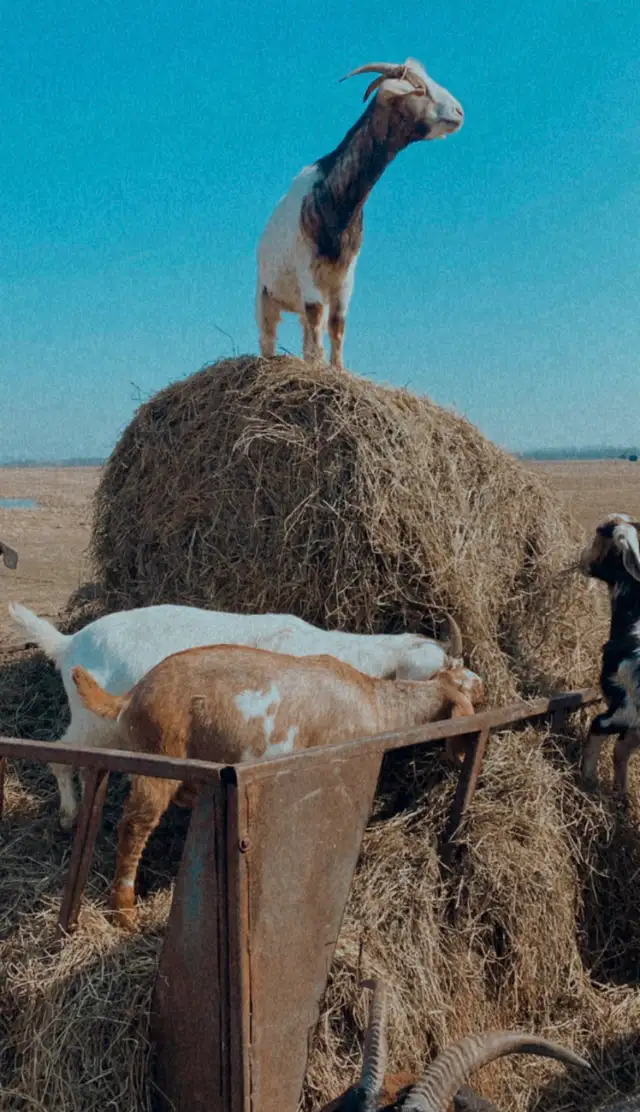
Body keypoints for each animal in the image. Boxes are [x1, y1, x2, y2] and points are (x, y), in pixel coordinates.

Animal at [70, 645, 484, 927]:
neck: (374, 704)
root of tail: (130, 696)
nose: (484, 685)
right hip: (157, 763)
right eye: (467, 687)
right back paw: (124, 911)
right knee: (134, 827)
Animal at [256, 57, 463, 370]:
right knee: (268, 336)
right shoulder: (306, 269)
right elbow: (317, 315)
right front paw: (319, 368)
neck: (333, 200)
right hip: (265, 295)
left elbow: (336, 324)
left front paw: (337, 369)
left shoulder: (346, 278)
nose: (459, 112)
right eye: (419, 88)